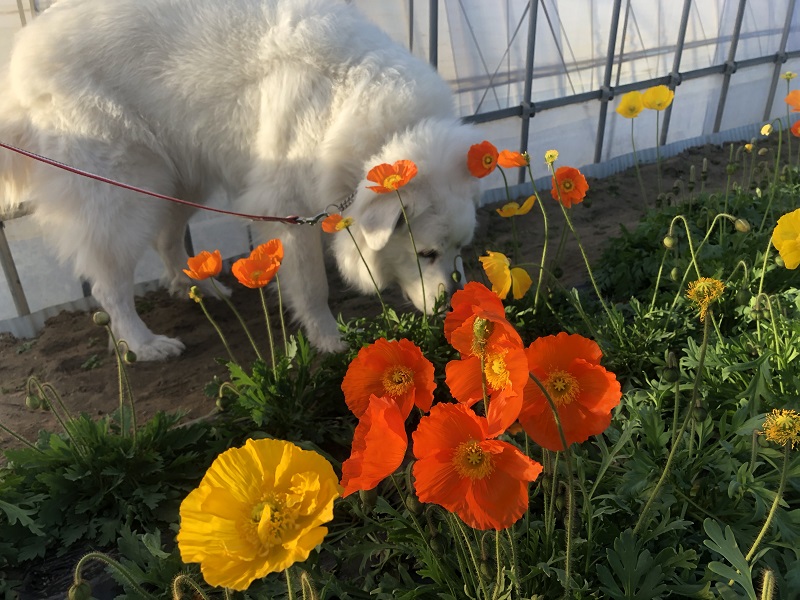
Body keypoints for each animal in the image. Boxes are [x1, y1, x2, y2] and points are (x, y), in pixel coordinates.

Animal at [0, 0, 482, 360]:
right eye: (426, 253)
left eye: (461, 249)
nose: (454, 310)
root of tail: (19, 72)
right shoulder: (288, 212)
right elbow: (313, 287)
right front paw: (331, 341)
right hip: (120, 195)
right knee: (109, 285)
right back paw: (144, 345)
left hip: (179, 180)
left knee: (166, 240)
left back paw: (200, 286)